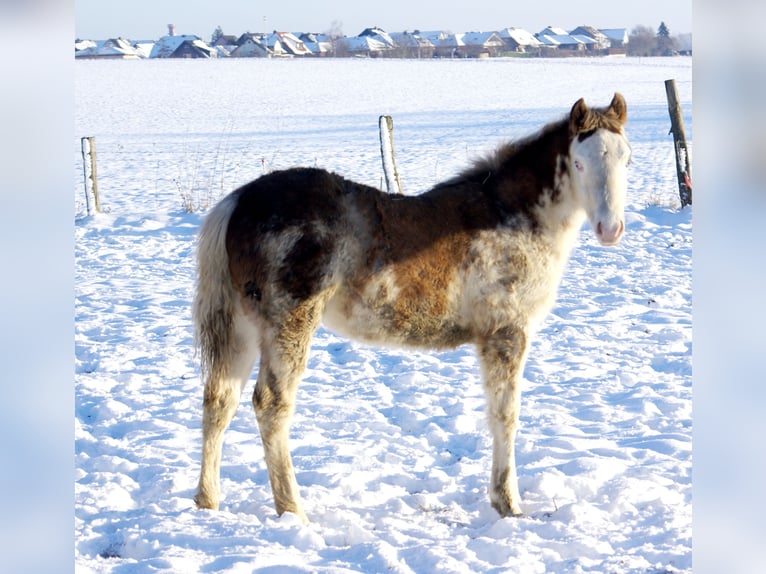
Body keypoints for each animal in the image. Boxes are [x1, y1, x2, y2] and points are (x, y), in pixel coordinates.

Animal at [192, 94, 630, 523]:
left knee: (219, 400)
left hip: (242, 329)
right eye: (579, 162)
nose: (610, 229)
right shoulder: (506, 333)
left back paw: (207, 501)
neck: (514, 217)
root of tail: (237, 202)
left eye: (626, 157)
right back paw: (293, 510)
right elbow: (505, 415)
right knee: (271, 405)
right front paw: (509, 503)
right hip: (288, 325)